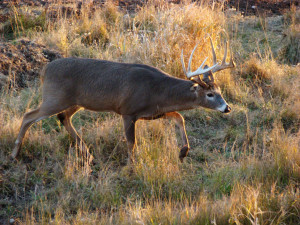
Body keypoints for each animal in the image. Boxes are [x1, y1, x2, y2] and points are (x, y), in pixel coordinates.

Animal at [11, 37, 236, 163]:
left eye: (220, 91)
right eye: (210, 94)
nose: (227, 108)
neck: (157, 91)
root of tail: (44, 70)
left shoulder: (154, 112)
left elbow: (179, 117)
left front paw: (183, 152)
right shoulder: (128, 111)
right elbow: (131, 142)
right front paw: (131, 167)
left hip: (75, 102)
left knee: (63, 118)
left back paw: (88, 155)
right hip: (54, 97)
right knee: (29, 116)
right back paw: (15, 153)